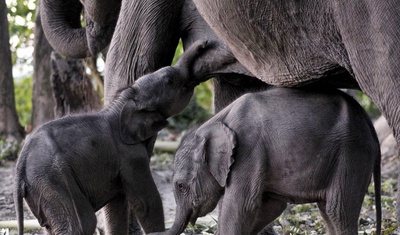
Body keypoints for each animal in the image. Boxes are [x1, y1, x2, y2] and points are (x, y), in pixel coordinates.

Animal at [13, 40, 209, 235]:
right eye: (170, 81)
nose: (204, 44)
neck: (125, 100)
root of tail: (20, 167)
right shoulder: (130, 155)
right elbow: (146, 203)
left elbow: (117, 206)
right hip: (53, 181)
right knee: (82, 223)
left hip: (41, 190)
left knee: (51, 225)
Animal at [161, 86, 380, 235]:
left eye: (180, 186)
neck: (214, 123)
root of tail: (366, 119)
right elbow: (271, 205)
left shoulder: (248, 150)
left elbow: (241, 205)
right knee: (327, 210)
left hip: (352, 153)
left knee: (338, 210)